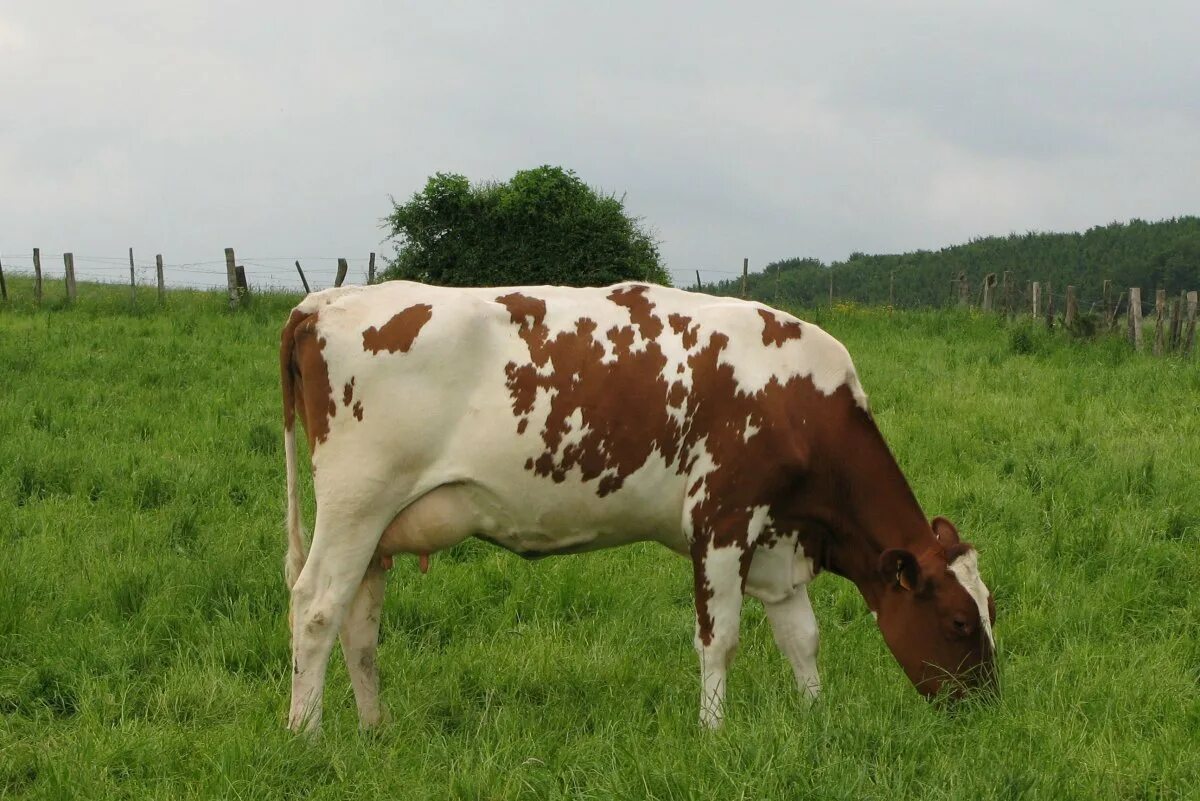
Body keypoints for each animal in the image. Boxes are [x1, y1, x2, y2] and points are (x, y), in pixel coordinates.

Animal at [278, 281, 993, 733]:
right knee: (315, 608)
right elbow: (719, 639)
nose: (986, 706)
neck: (799, 400)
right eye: (959, 622)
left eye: (991, 611)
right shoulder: (722, 520)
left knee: (359, 621)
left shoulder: (778, 537)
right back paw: (305, 737)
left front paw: (815, 720)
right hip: (356, 500)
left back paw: (375, 729)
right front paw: (713, 735)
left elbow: (802, 637)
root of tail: (326, 300)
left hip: (381, 528)